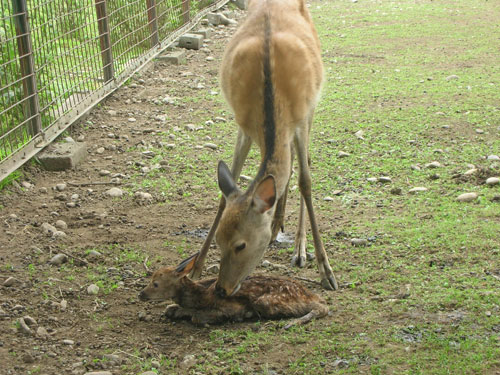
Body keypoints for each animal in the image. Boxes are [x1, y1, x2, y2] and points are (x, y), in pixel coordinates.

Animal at [189, 0, 338, 294]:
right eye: (219, 241)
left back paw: (299, 249)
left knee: (303, 167)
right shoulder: (243, 126)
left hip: (311, 112)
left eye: (241, 245)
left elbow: (306, 181)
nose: (221, 289)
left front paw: (326, 270)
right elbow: (228, 187)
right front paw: (195, 267)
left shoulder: (300, 120)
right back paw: (278, 221)